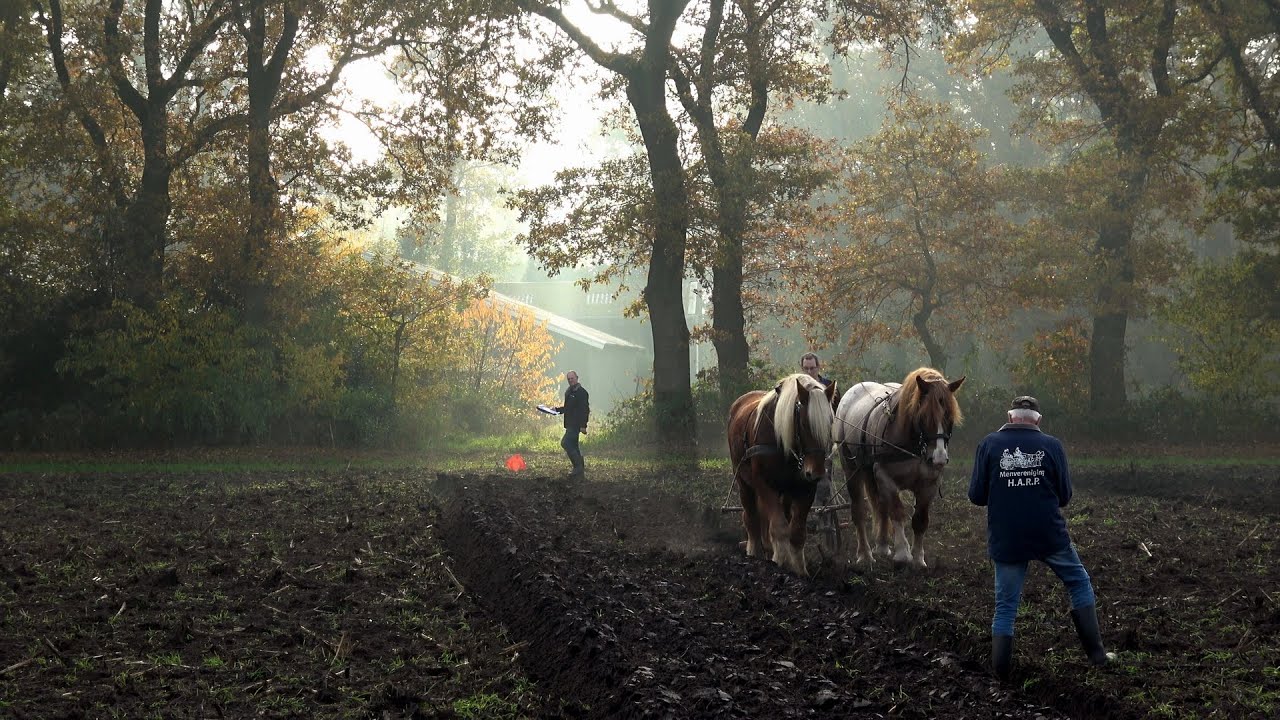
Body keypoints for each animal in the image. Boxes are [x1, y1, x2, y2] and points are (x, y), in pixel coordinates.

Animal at [727, 373, 837, 576]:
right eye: (804, 423)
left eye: (830, 423)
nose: (816, 472)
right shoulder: (764, 484)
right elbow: (779, 527)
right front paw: (779, 561)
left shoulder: (805, 488)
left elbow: (797, 531)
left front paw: (799, 569)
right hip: (743, 482)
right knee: (751, 516)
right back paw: (754, 551)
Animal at [834, 367, 964, 568]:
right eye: (924, 416)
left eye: (949, 416)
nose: (939, 458)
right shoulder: (885, 476)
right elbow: (897, 512)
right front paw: (903, 553)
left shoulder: (930, 483)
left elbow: (920, 520)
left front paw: (918, 558)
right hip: (850, 468)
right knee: (859, 511)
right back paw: (865, 554)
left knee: (880, 506)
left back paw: (882, 546)